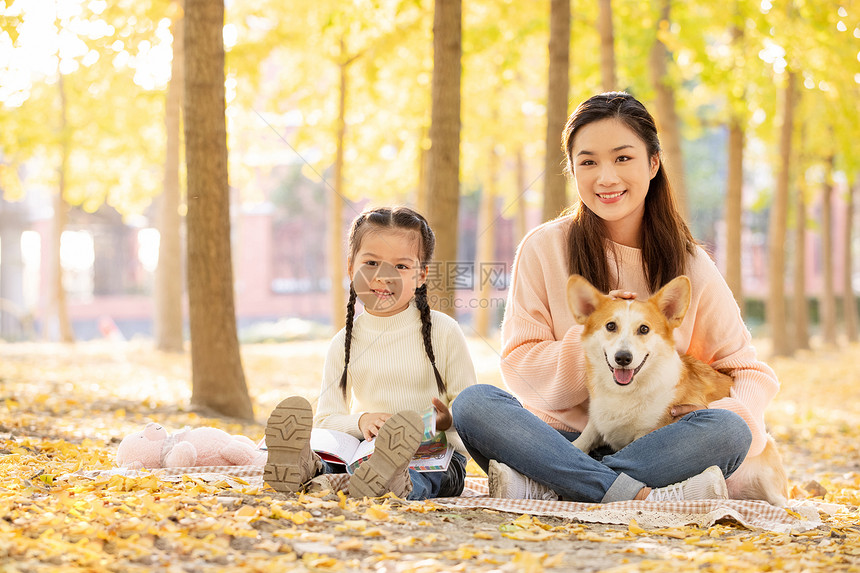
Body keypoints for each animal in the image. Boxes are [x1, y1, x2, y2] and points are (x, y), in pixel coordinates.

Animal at [568, 274, 788, 504]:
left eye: (644, 329)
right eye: (610, 326)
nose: (623, 358)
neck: (625, 392)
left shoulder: (646, 432)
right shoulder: (596, 421)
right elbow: (582, 441)